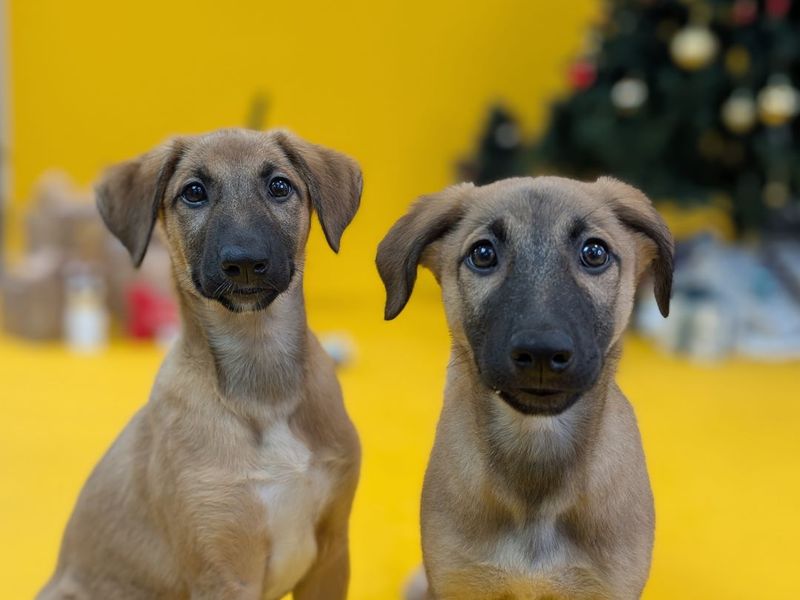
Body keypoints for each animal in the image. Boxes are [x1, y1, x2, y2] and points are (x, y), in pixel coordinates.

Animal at [38, 129, 362, 600]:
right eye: (194, 192)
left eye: (279, 186)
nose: (244, 263)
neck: (262, 381)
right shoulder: (223, 573)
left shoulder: (332, 554)